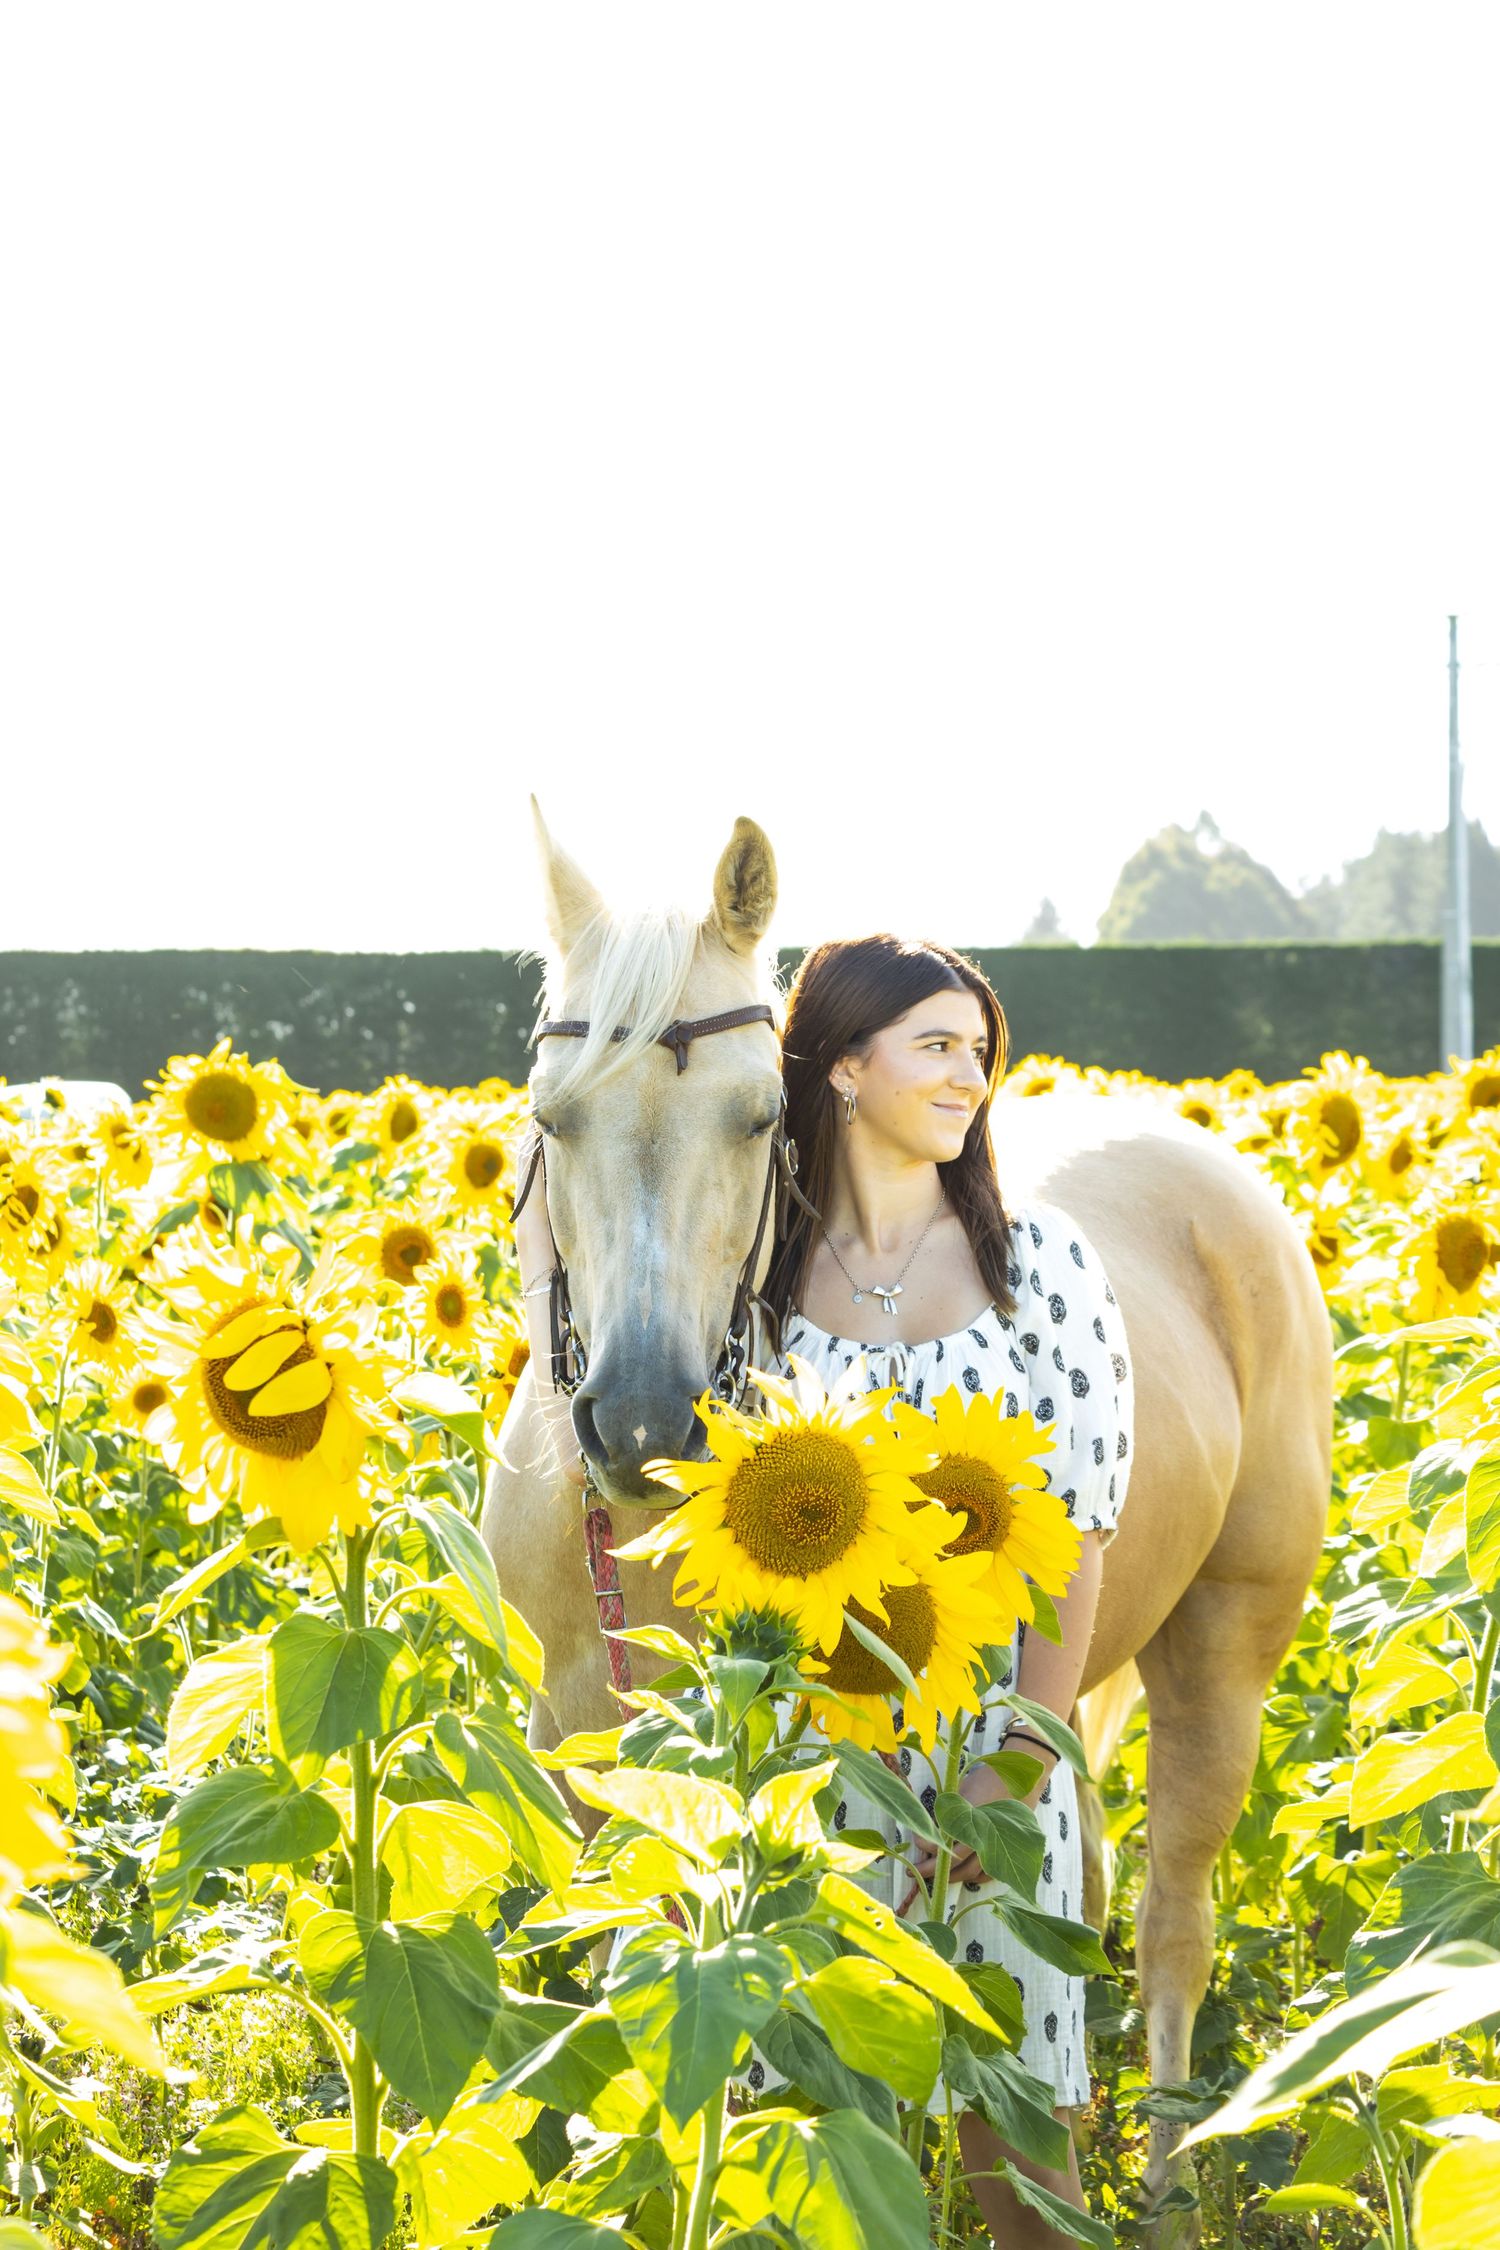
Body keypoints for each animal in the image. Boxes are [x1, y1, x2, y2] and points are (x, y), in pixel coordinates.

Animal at [482, 807, 1332, 2244]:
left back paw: (1164, 2183)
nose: (644, 1421)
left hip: (1223, 1651)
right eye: (550, 1116)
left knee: (1171, 1923)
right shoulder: (575, 1736)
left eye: (760, 1114)